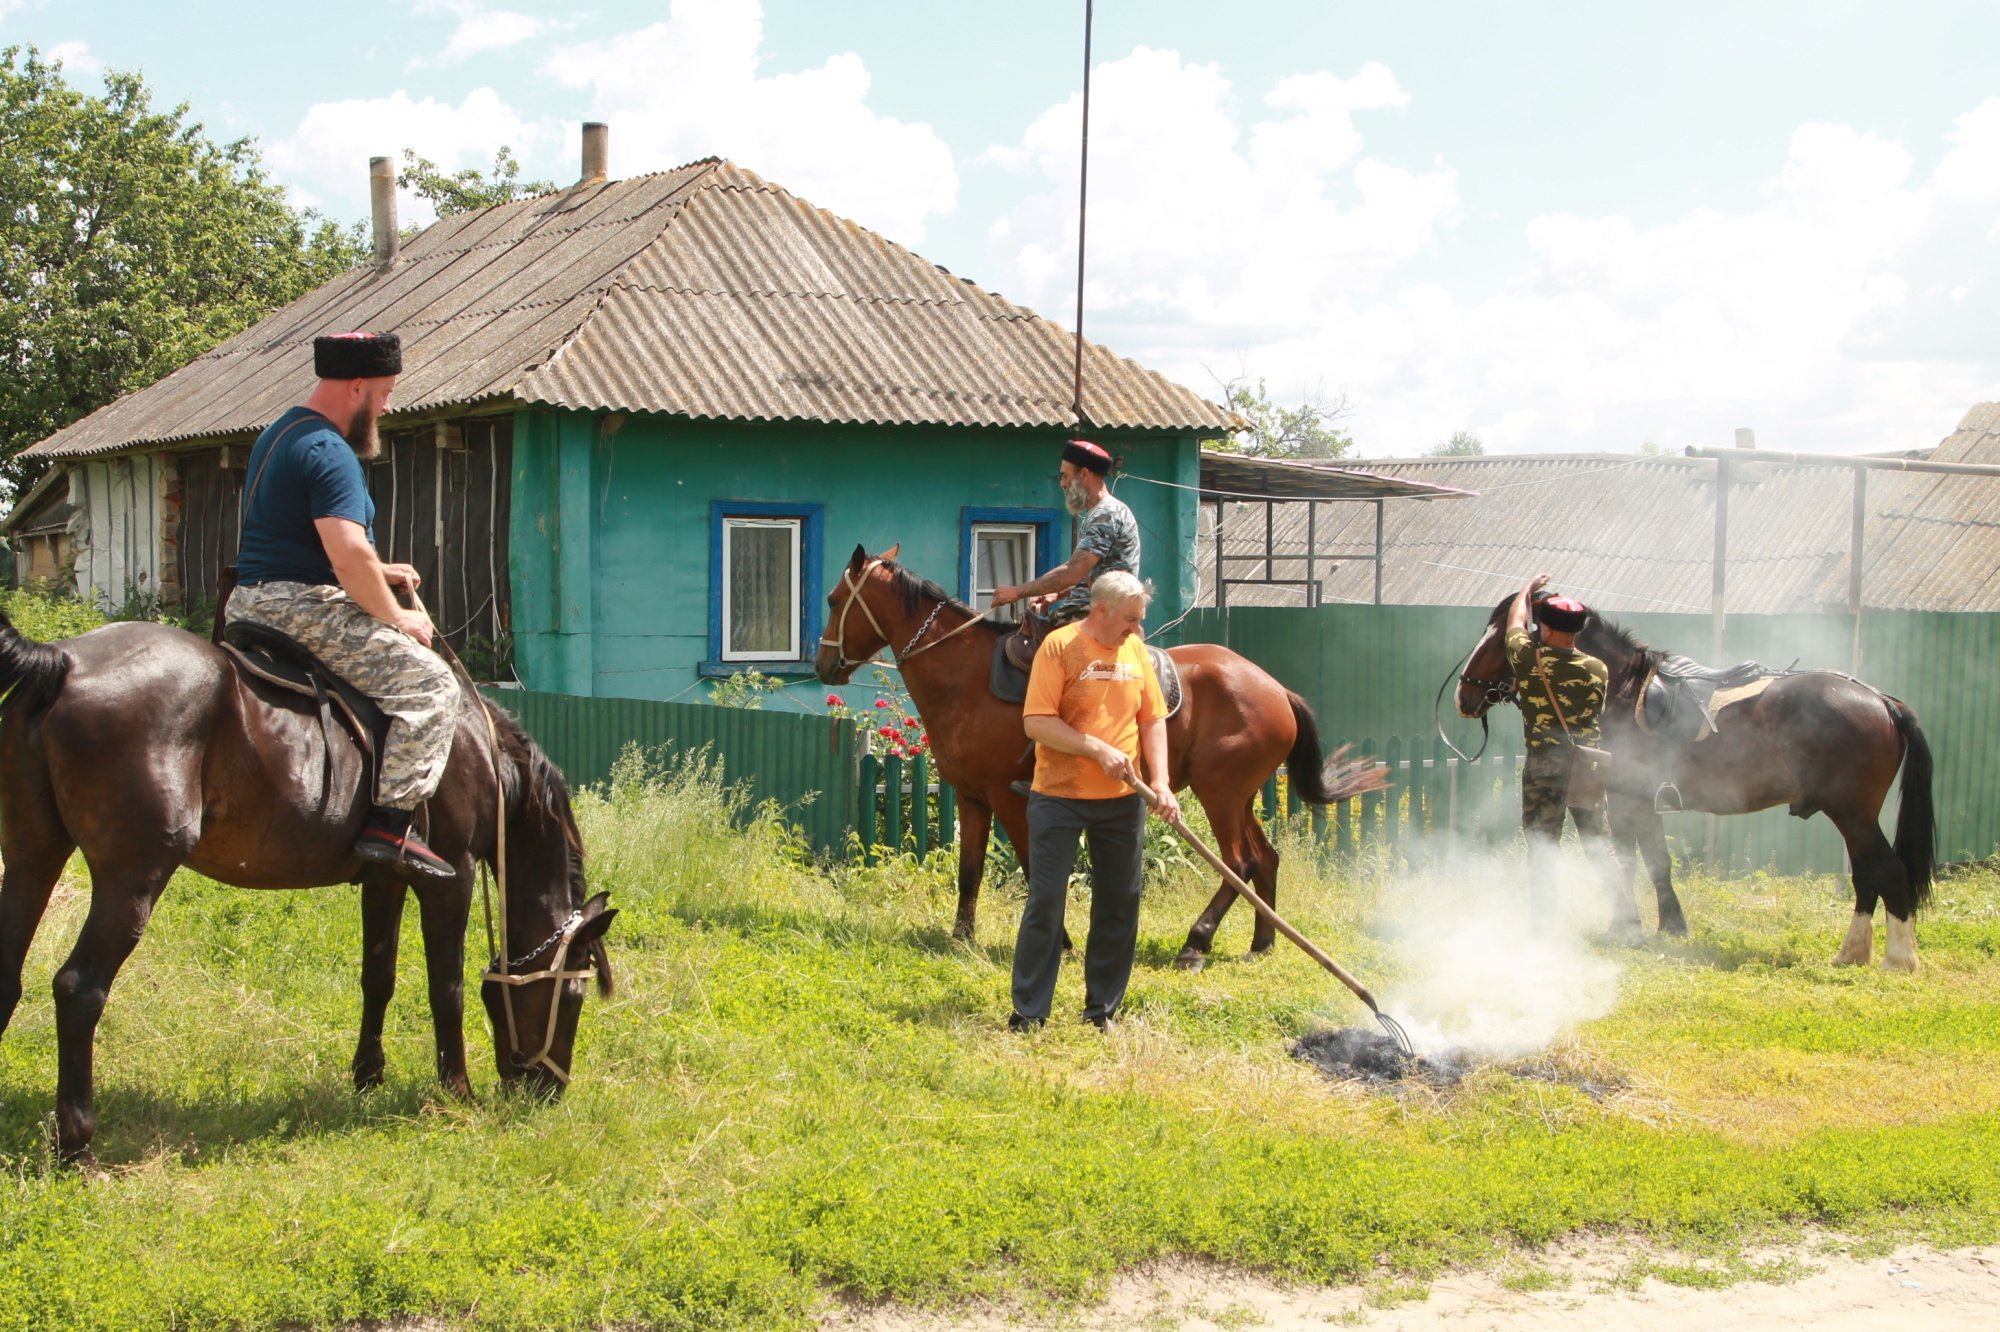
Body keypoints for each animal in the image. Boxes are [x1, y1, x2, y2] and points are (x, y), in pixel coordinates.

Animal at [0, 608, 616, 1160]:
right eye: (574, 997)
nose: (548, 1091)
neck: (479, 751)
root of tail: (64, 661)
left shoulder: (386, 879)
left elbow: (378, 978)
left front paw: (367, 1076)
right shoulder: (452, 879)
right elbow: (448, 989)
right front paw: (455, 1093)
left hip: (31, 858)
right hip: (132, 879)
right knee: (80, 989)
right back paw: (78, 1144)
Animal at [804, 544, 1384, 960]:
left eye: (833, 601)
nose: (822, 666)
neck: (965, 676)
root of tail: (1276, 688)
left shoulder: (1010, 798)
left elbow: (1034, 870)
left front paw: (1058, 941)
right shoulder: (972, 799)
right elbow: (969, 872)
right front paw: (961, 939)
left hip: (1219, 794)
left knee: (1238, 861)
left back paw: (1196, 941)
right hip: (1237, 796)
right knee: (1265, 857)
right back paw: (1262, 942)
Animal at [1456, 592, 1936, 964]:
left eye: (1500, 636)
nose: (1465, 693)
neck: (1621, 690)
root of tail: (1880, 700)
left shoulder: (1625, 800)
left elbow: (1626, 862)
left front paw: (1626, 927)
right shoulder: (1643, 801)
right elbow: (1657, 862)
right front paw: (1671, 927)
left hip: (1852, 814)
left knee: (1886, 872)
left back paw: (1898, 958)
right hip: (1853, 817)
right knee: (1867, 875)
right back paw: (1854, 953)